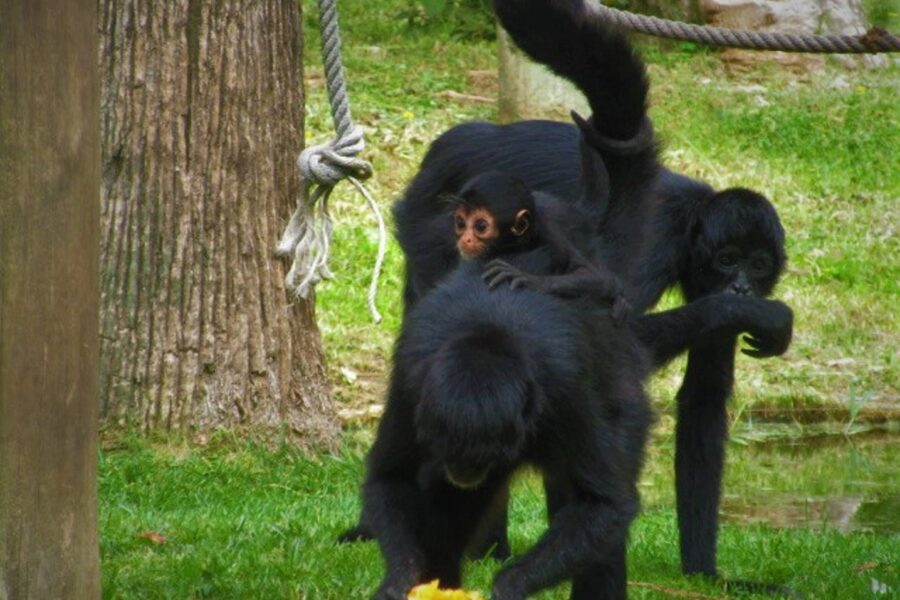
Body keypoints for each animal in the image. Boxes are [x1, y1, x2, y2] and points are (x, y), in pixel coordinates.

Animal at [362, 258, 652, 600]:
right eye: (450, 449)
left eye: (482, 453)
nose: (463, 470)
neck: (489, 327)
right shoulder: (411, 379)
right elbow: (392, 476)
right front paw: (401, 578)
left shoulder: (565, 389)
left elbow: (606, 504)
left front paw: (508, 586)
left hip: (625, 403)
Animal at [450, 170, 632, 318]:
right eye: (460, 223)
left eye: (481, 226)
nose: (465, 239)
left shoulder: (550, 235)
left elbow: (596, 276)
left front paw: (529, 279)